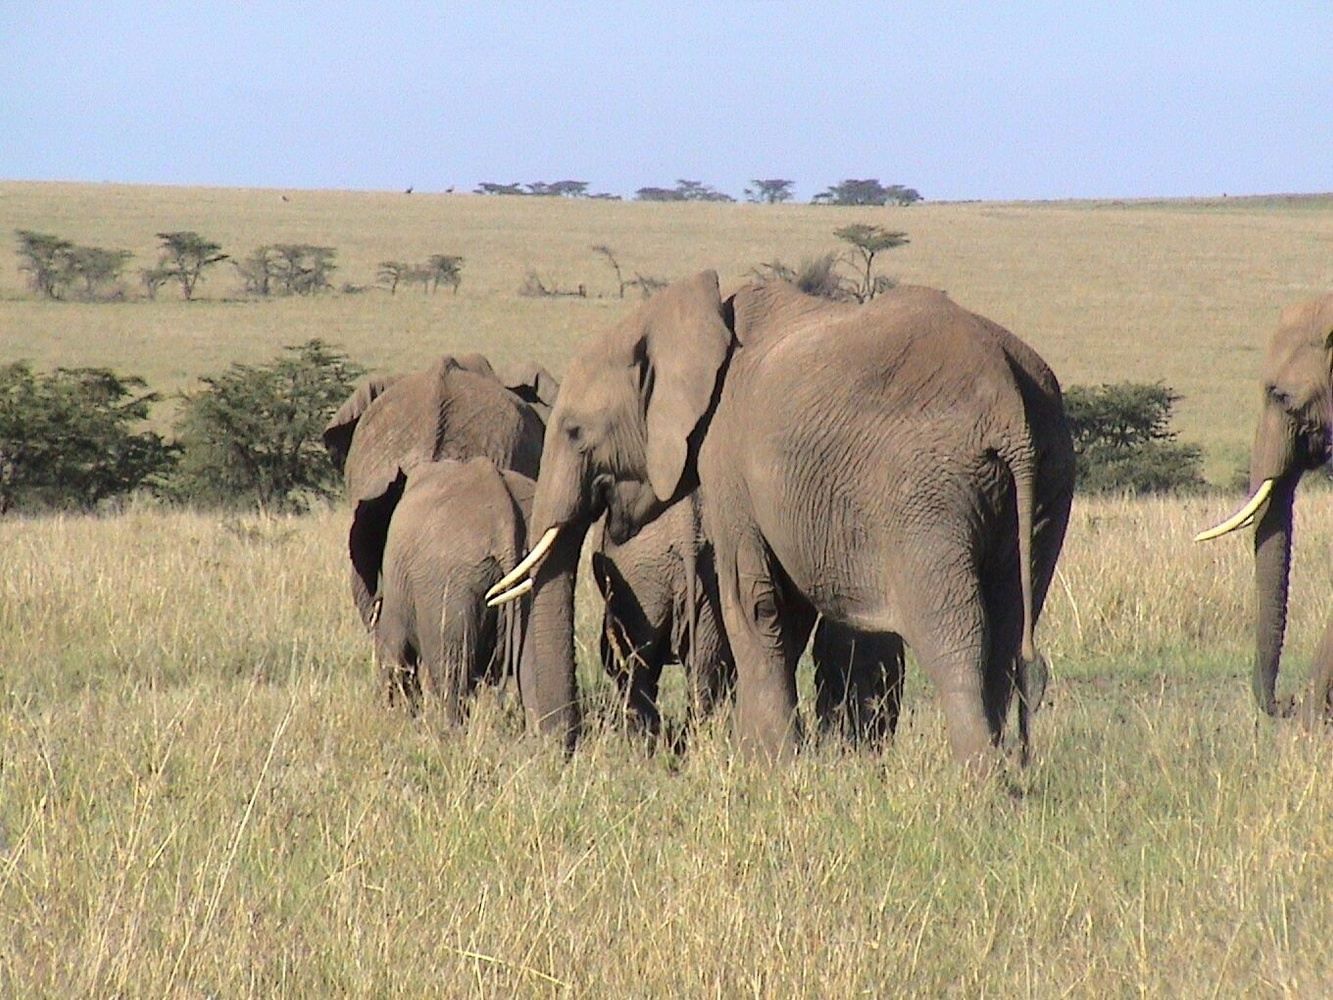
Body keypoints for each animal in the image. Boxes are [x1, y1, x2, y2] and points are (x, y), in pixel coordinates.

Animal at [488, 272, 1074, 767]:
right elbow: (784, 610)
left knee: (955, 631)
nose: (562, 752)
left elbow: (753, 598)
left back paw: (978, 782)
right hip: (1047, 478)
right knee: (1010, 626)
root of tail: (1008, 399)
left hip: (925, 491)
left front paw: (764, 761)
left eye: (574, 431)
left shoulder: (726, 451)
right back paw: (1013, 773)